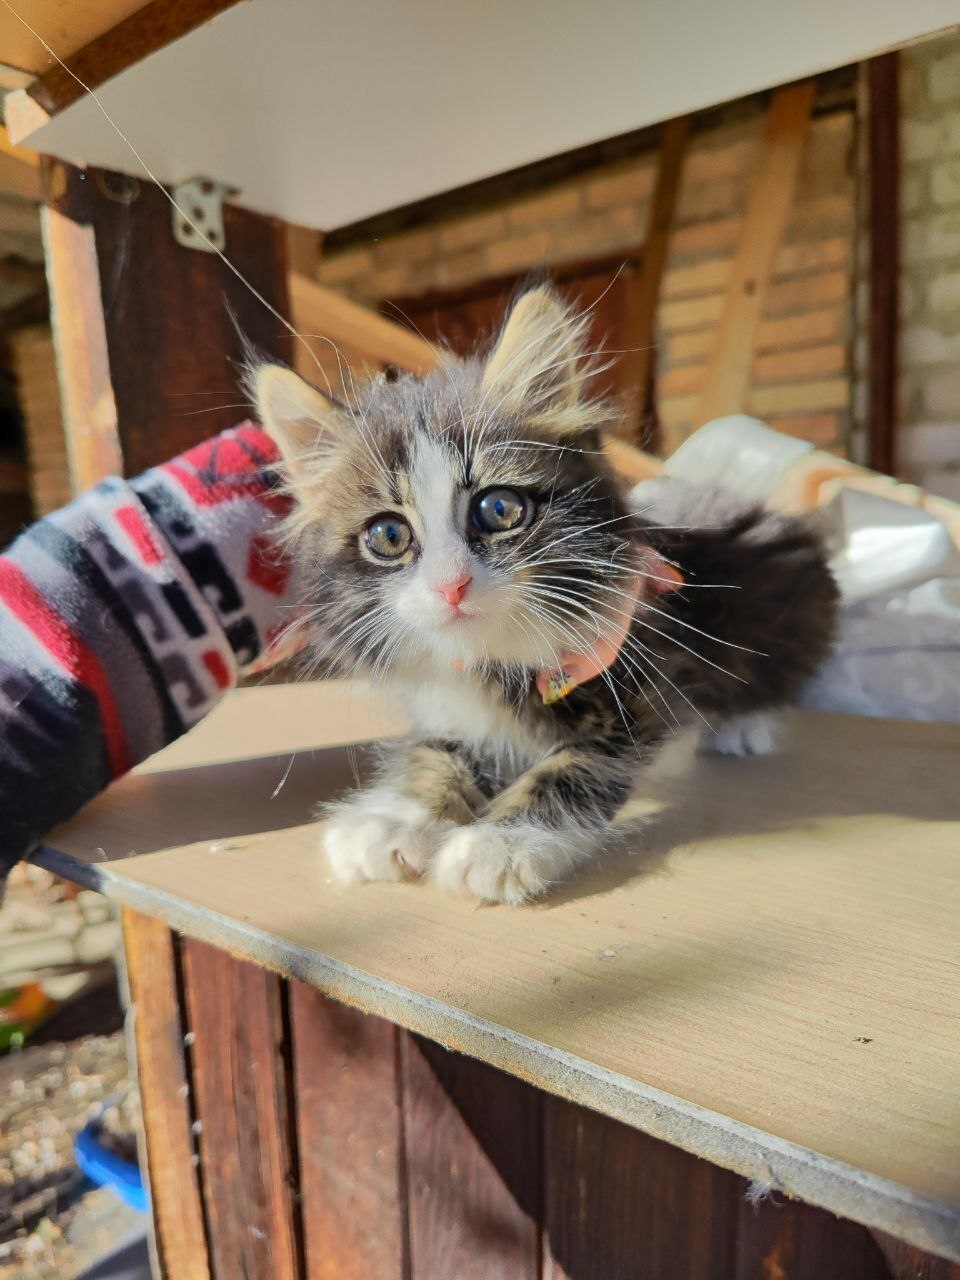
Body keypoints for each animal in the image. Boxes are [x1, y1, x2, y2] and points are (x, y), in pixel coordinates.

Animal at [256, 285, 839, 906]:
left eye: (498, 508)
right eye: (389, 536)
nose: (451, 584)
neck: (493, 654)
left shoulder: (637, 688)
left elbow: (572, 768)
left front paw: (500, 844)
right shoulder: (452, 709)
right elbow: (435, 754)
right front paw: (390, 820)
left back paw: (743, 725)